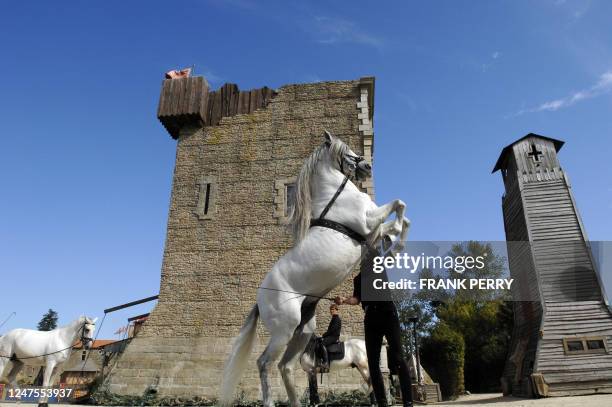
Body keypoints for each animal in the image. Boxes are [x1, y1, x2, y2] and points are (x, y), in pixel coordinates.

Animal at [221, 131, 412, 407]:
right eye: (345, 150)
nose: (367, 166)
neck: (336, 193)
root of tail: (260, 301)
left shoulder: (371, 230)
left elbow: (400, 220)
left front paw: (395, 245)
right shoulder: (369, 220)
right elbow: (400, 205)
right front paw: (397, 245)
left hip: (302, 331)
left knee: (285, 366)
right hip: (284, 331)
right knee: (264, 363)